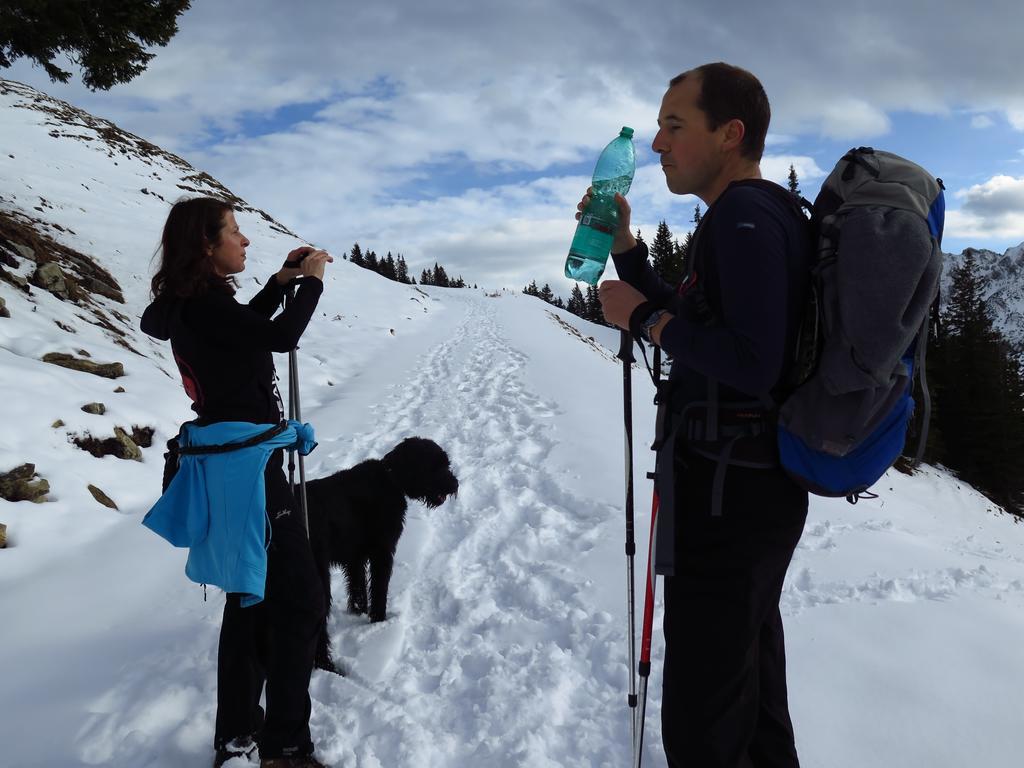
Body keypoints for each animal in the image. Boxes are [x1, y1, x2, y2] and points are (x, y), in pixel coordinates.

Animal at [305, 438, 458, 671]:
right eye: (434, 465)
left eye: (445, 463)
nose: (455, 484)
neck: (391, 478)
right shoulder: (382, 553)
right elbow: (379, 589)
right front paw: (379, 621)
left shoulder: (355, 558)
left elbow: (358, 589)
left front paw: (358, 615)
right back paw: (328, 665)